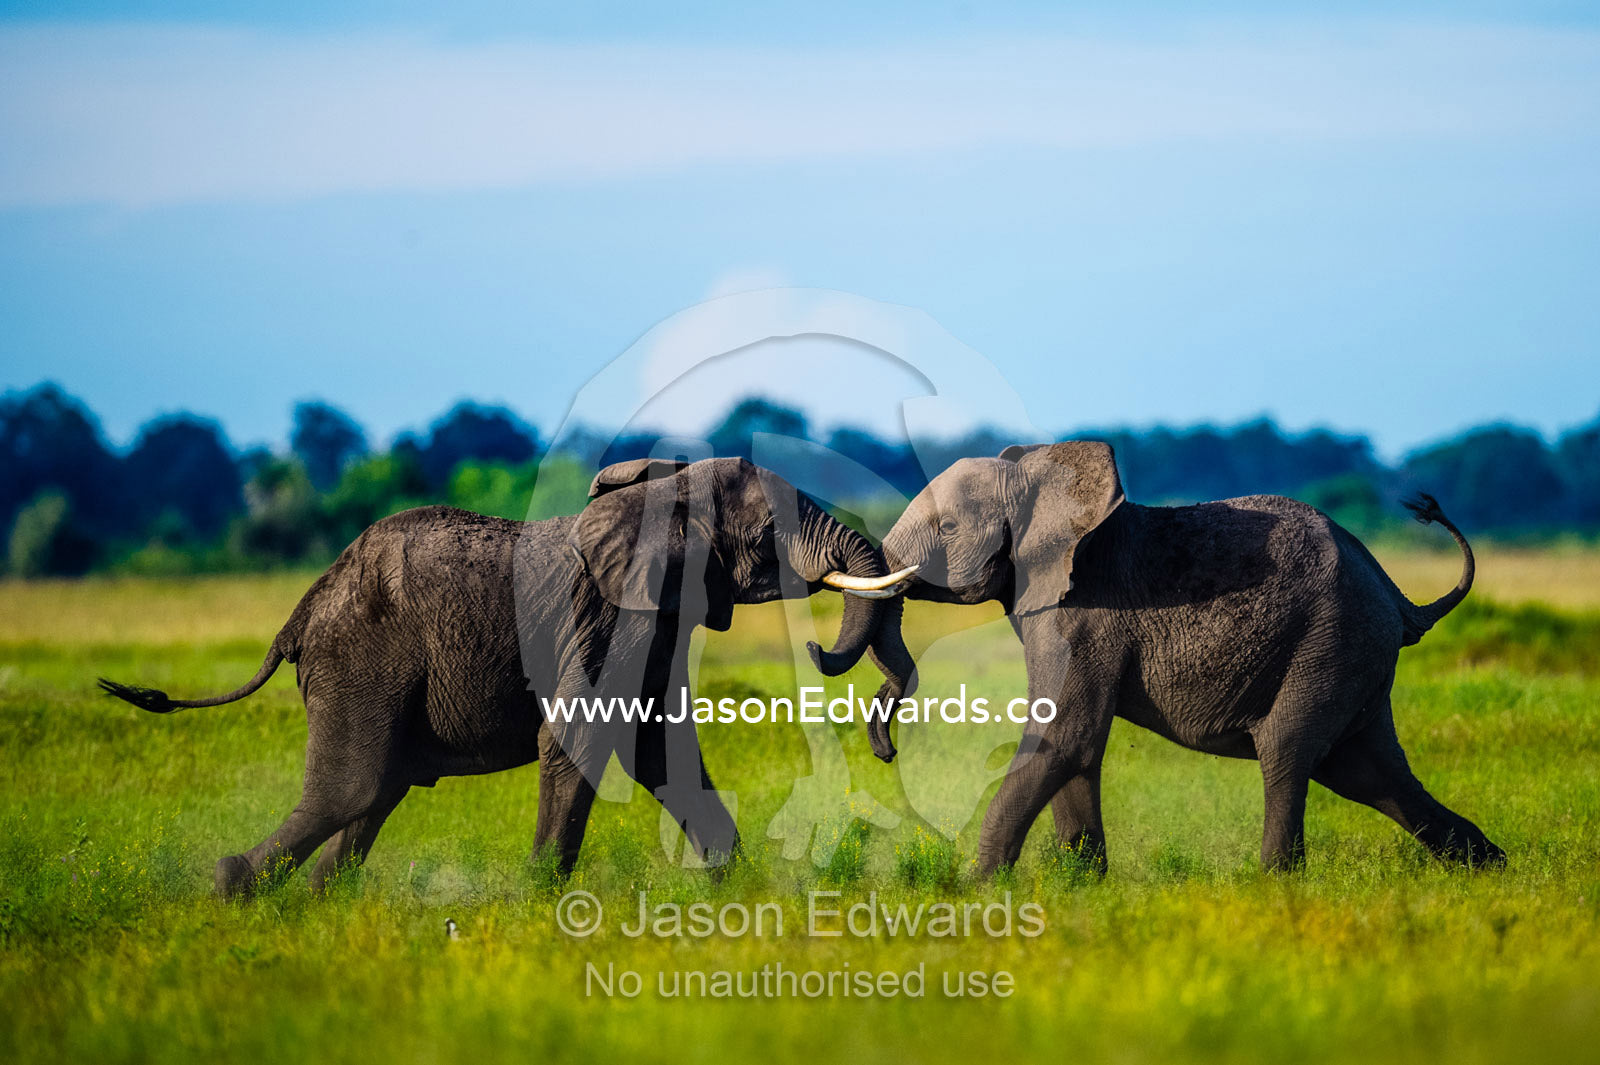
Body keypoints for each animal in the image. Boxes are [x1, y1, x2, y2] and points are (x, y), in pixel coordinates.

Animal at [100, 456, 916, 896]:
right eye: (771, 533)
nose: (885, 748)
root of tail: (299, 613)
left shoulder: (656, 619)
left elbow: (661, 750)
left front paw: (735, 890)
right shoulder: (604, 614)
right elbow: (582, 739)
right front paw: (538, 903)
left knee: (373, 793)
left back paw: (312, 904)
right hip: (362, 657)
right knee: (354, 787)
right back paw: (234, 889)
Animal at [869, 441, 1505, 874]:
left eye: (949, 526)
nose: (885, 748)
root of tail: (1399, 598)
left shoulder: (1084, 618)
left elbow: (1066, 734)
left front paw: (977, 890)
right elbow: (1076, 746)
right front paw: (1082, 884)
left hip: (1329, 643)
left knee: (1289, 753)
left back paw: (1273, 882)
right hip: (1355, 654)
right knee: (1367, 771)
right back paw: (1491, 868)